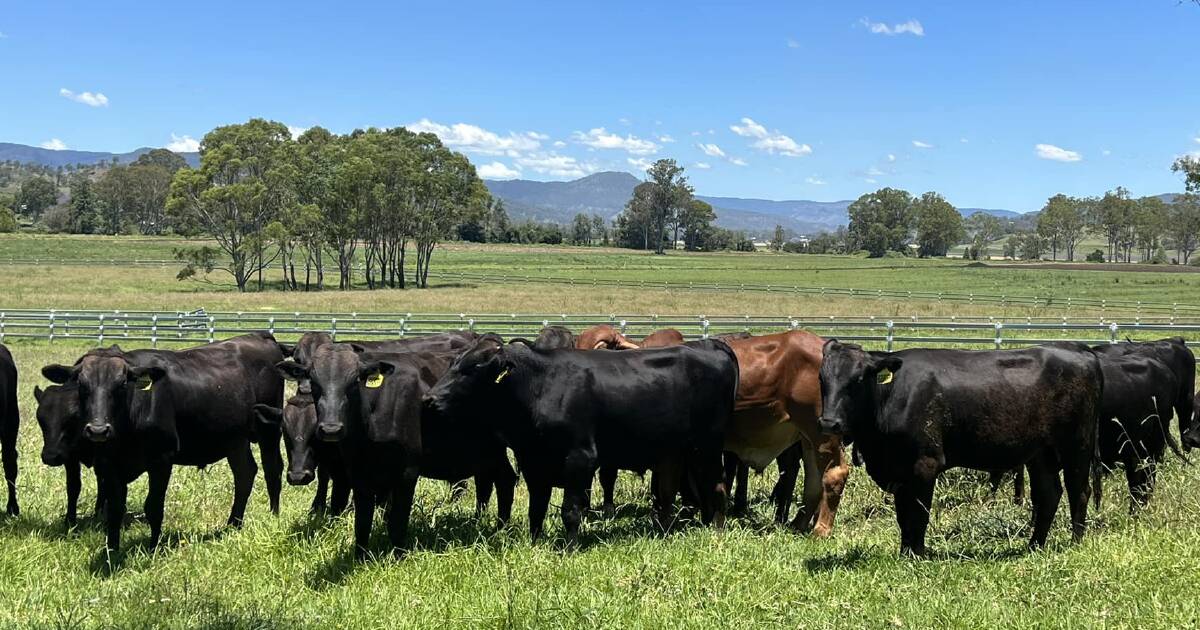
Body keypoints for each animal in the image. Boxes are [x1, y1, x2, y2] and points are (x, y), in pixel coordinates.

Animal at [34, 384, 105, 525]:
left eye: (73, 417)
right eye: (40, 418)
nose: (51, 456)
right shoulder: (70, 457)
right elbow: (73, 486)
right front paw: (70, 521)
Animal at [274, 343, 518, 554]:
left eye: (354, 381)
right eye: (314, 382)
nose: (331, 429)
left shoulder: (407, 472)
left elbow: (397, 520)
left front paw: (399, 554)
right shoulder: (358, 472)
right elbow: (363, 521)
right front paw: (360, 556)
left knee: (503, 480)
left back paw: (499, 529)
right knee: (495, 480)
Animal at [422, 333, 739, 544]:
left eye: (474, 368)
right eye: (453, 363)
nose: (430, 400)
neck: (540, 386)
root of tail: (710, 344)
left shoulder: (580, 458)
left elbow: (571, 509)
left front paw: (570, 546)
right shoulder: (534, 461)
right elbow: (537, 508)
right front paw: (535, 542)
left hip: (709, 445)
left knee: (717, 485)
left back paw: (717, 530)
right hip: (683, 451)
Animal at [820, 340, 1099, 552]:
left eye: (858, 380)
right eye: (822, 379)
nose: (829, 422)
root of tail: (1077, 348)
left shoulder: (925, 464)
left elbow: (918, 514)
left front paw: (916, 554)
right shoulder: (899, 471)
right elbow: (903, 516)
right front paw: (905, 551)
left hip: (1077, 446)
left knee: (1079, 491)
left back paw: (1075, 542)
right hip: (1041, 454)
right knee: (1049, 494)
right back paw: (1034, 546)